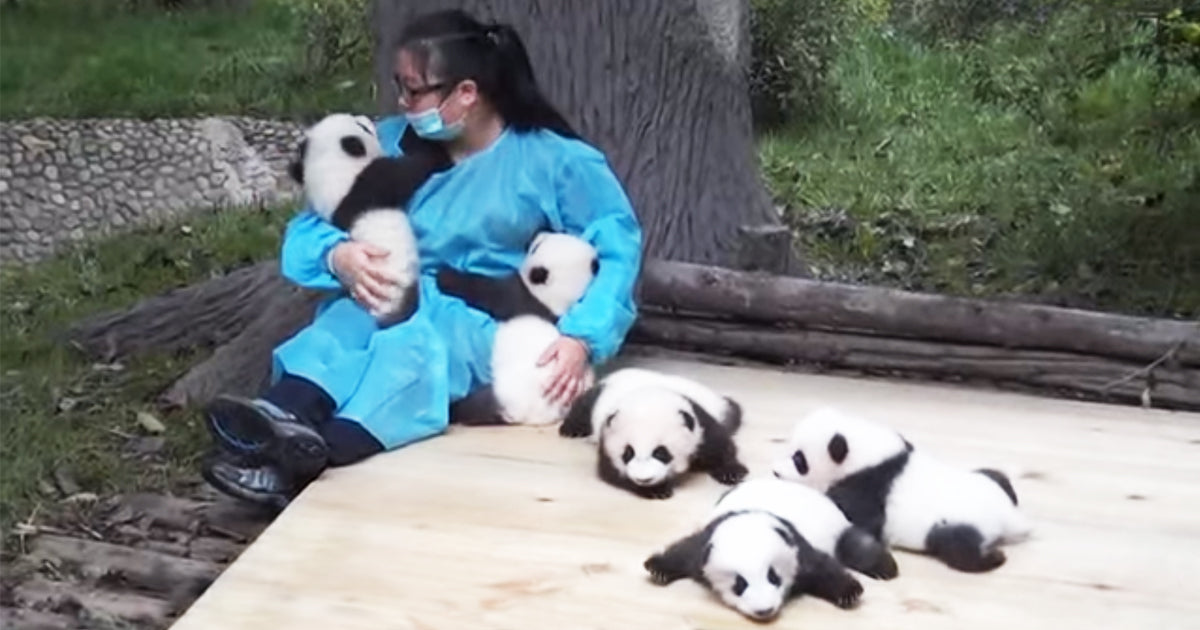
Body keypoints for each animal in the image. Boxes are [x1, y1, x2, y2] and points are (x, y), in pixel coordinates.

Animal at [287, 113, 450, 326]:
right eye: (361, 126)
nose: (366, 118)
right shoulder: (368, 184)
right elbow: (406, 172)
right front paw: (436, 153)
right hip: (397, 286)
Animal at [438, 232, 599, 427]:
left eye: (536, 246)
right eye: (561, 232)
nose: (538, 232)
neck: (558, 302)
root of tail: (537, 417)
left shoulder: (519, 298)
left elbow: (488, 292)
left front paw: (445, 275)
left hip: (506, 391)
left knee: (477, 405)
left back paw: (454, 408)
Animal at [558, 367, 748, 500]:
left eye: (661, 452)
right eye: (628, 453)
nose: (644, 479)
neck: (649, 392)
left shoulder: (698, 422)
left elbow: (720, 445)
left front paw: (731, 472)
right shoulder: (607, 434)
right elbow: (612, 472)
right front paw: (656, 490)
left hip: (722, 408)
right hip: (599, 395)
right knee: (584, 406)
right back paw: (571, 429)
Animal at [643, 476, 887, 622]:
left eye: (774, 577)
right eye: (739, 585)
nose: (764, 611)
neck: (751, 518)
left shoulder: (795, 544)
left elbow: (822, 567)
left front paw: (849, 592)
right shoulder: (708, 539)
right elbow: (685, 551)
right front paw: (657, 568)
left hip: (837, 528)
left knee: (856, 547)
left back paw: (885, 569)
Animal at [771, 405, 1033, 573]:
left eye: (799, 460)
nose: (775, 472)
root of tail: (1010, 519)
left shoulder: (865, 485)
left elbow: (857, 517)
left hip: (956, 522)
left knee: (958, 545)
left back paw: (993, 558)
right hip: (988, 482)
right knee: (997, 476)